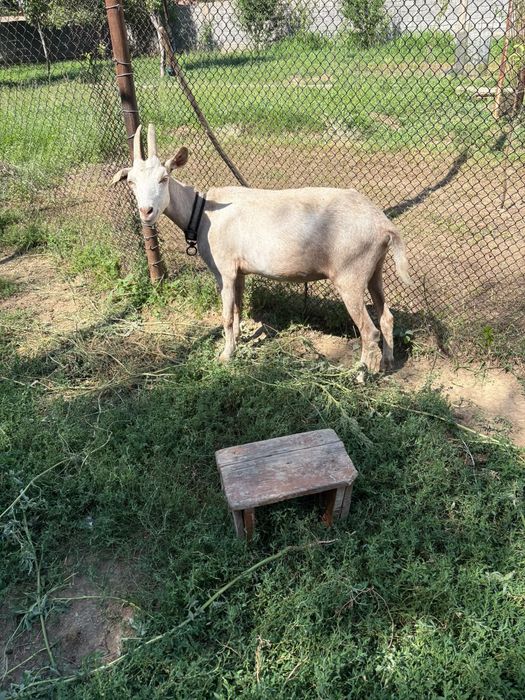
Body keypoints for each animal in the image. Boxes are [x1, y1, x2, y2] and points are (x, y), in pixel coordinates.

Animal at [113, 124, 411, 372]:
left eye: (164, 178)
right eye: (131, 181)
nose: (146, 211)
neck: (203, 212)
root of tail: (384, 224)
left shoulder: (224, 270)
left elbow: (226, 315)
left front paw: (225, 355)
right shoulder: (240, 271)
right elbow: (238, 307)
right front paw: (239, 339)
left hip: (350, 274)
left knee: (369, 330)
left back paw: (362, 374)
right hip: (374, 269)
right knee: (386, 317)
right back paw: (387, 362)